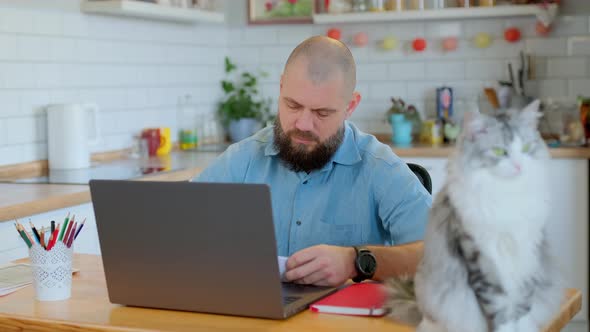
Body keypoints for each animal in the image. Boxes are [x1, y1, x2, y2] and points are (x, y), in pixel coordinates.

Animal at [388, 100, 564, 330]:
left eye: (526, 148)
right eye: (499, 151)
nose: (519, 166)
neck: (507, 196)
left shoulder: (529, 255)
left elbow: (522, 306)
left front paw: (524, 326)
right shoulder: (479, 256)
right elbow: (499, 309)